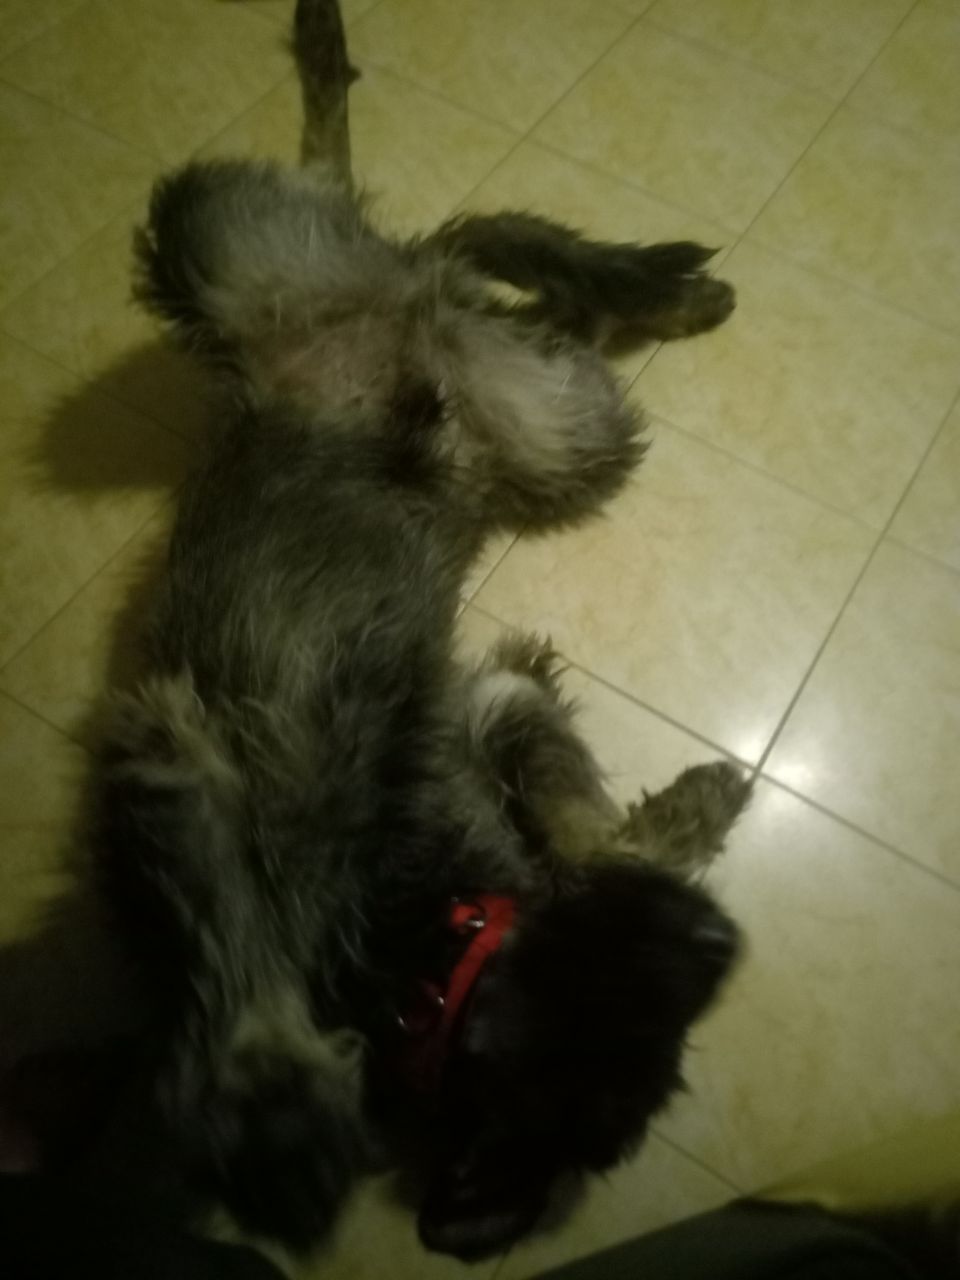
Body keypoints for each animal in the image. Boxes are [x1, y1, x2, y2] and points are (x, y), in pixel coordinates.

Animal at [92, 0, 750, 1261]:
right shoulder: (488, 707)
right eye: (648, 994)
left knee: (442, 224)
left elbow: (588, 830)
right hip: (318, 293)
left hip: (536, 420)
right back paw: (639, 279)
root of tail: (398, 321)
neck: (427, 953)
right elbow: (593, 833)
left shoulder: (487, 714)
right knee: (433, 229)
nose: (721, 942)